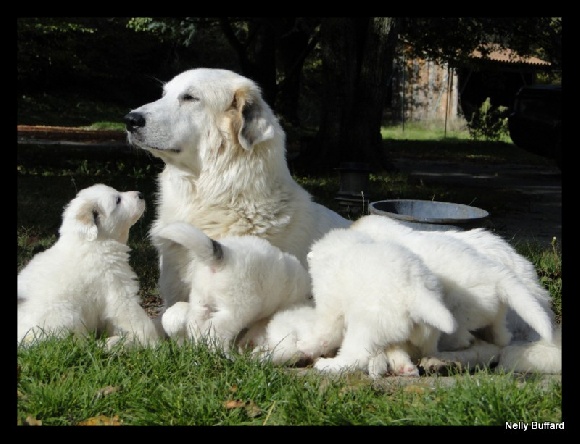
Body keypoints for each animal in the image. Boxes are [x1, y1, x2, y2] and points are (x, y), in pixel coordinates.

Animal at [302, 227, 456, 376]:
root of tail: (414, 290)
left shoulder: (332, 307)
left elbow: (325, 332)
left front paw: (305, 346)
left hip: (365, 325)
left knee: (357, 355)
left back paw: (327, 365)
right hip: (414, 331)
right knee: (400, 347)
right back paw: (406, 368)